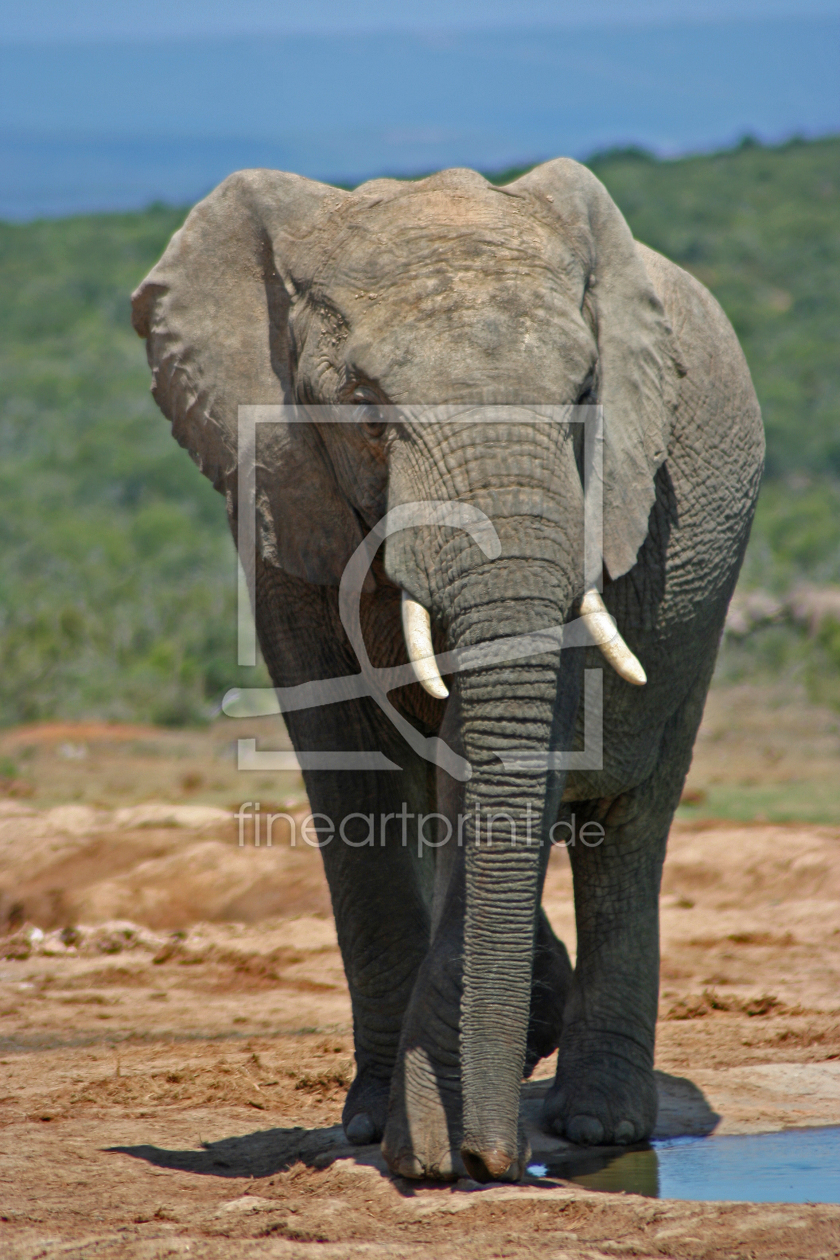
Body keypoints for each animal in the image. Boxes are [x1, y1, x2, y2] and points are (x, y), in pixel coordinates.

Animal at [129, 157, 760, 1179]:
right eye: (364, 407)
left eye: (585, 391)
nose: (495, 1161)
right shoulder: (279, 498)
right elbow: (350, 765)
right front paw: (387, 1136)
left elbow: (507, 744)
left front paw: (430, 1151)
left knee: (629, 825)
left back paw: (600, 1125)